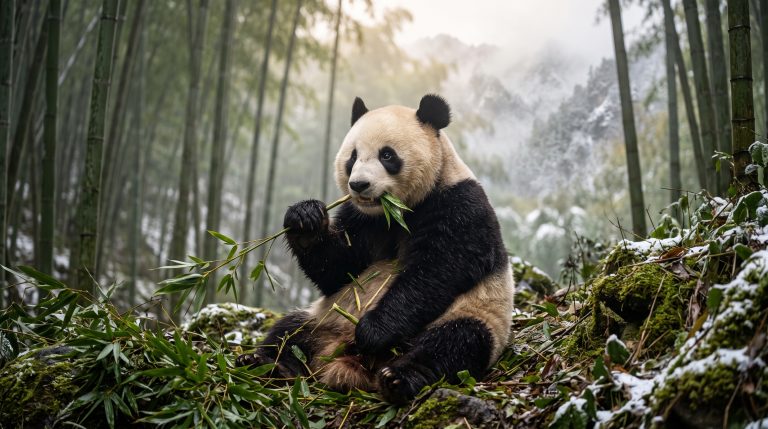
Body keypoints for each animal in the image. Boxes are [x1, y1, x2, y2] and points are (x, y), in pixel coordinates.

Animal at [236, 94, 515, 404]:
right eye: (353, 157)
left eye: (387, 155)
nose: (358, 185)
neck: (394, 212)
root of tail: (344, 359)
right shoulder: (360, 218)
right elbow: (339, 269)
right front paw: (305, 218)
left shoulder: (459, 206)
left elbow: (437, 270)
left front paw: (373, 331)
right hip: (323, 318)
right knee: (288, 332)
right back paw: (266, 364)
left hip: (477, 314)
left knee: (453, 343)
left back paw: (398, 378)